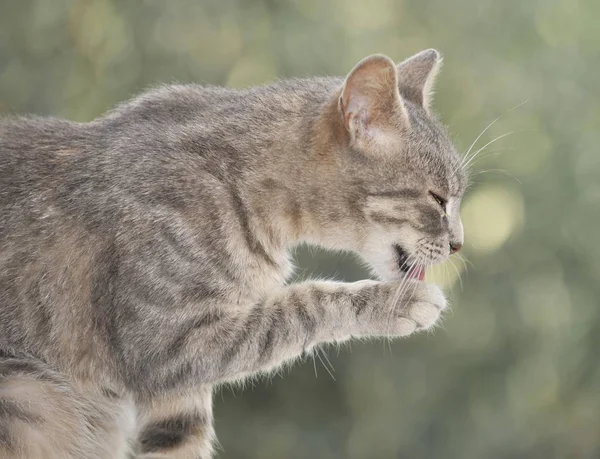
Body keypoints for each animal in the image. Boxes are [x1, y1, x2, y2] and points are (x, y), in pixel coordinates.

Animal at [0, 48, 464, 458]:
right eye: (438, 199)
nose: (459, 242)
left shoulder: (178, 399)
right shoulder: (164, 345)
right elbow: (300, 305)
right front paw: (391, 302)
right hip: (33, 396)